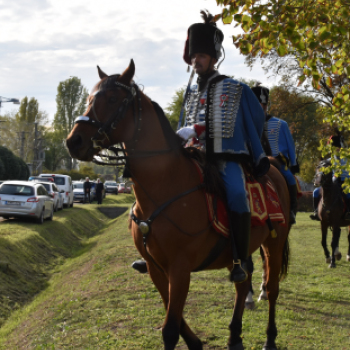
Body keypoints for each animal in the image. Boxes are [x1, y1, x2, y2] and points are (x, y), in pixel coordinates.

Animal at [65, 60, 290, 350]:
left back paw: (270, 339)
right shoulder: (156, 267)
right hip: (240, 252)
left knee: (272, 289)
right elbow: (174, 317)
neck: (165, 186)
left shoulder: (180, 269)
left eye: (113, 98)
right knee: (242, 284)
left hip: (274, 242)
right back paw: (234, 336)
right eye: (90, 98)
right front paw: (195, 342)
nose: (74, 141)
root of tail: (273, 166)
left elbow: (170, 329)